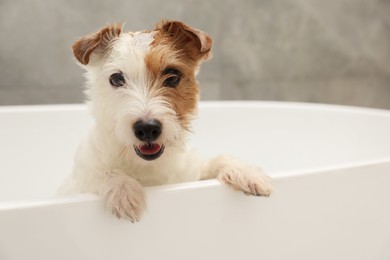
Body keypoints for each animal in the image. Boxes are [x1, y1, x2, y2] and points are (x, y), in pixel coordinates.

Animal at [60, 20, 274, 222]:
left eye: (172, 77)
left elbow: (218, 159)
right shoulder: (80, 181)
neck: (146, 166)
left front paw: (248, 173)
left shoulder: (190, 172)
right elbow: (103, 172)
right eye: (117, 79)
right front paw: (123, 190)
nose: (147, 129)